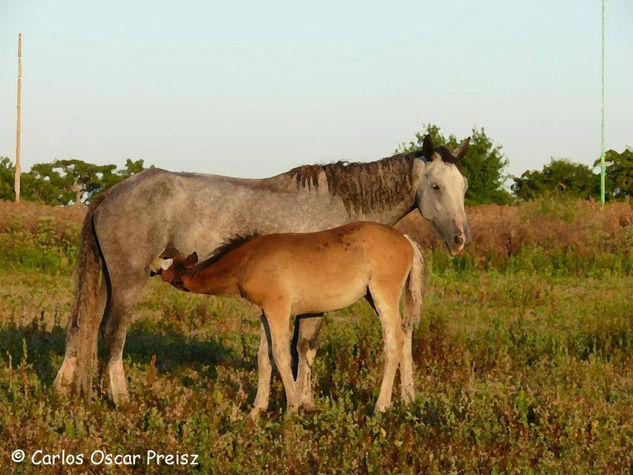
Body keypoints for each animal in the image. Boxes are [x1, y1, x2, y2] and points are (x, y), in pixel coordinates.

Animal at [54, 135, 470, 410]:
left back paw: (65, 388)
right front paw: (302, 402)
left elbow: (286, 351)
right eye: (436, 185)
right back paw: (121, 398)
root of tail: (107, 195)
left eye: (464, 186)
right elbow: (303, 348)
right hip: (128, 281)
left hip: (107, 281)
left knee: (81, 325)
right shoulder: (309, 305)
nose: (460, 239)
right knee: (113, 332)